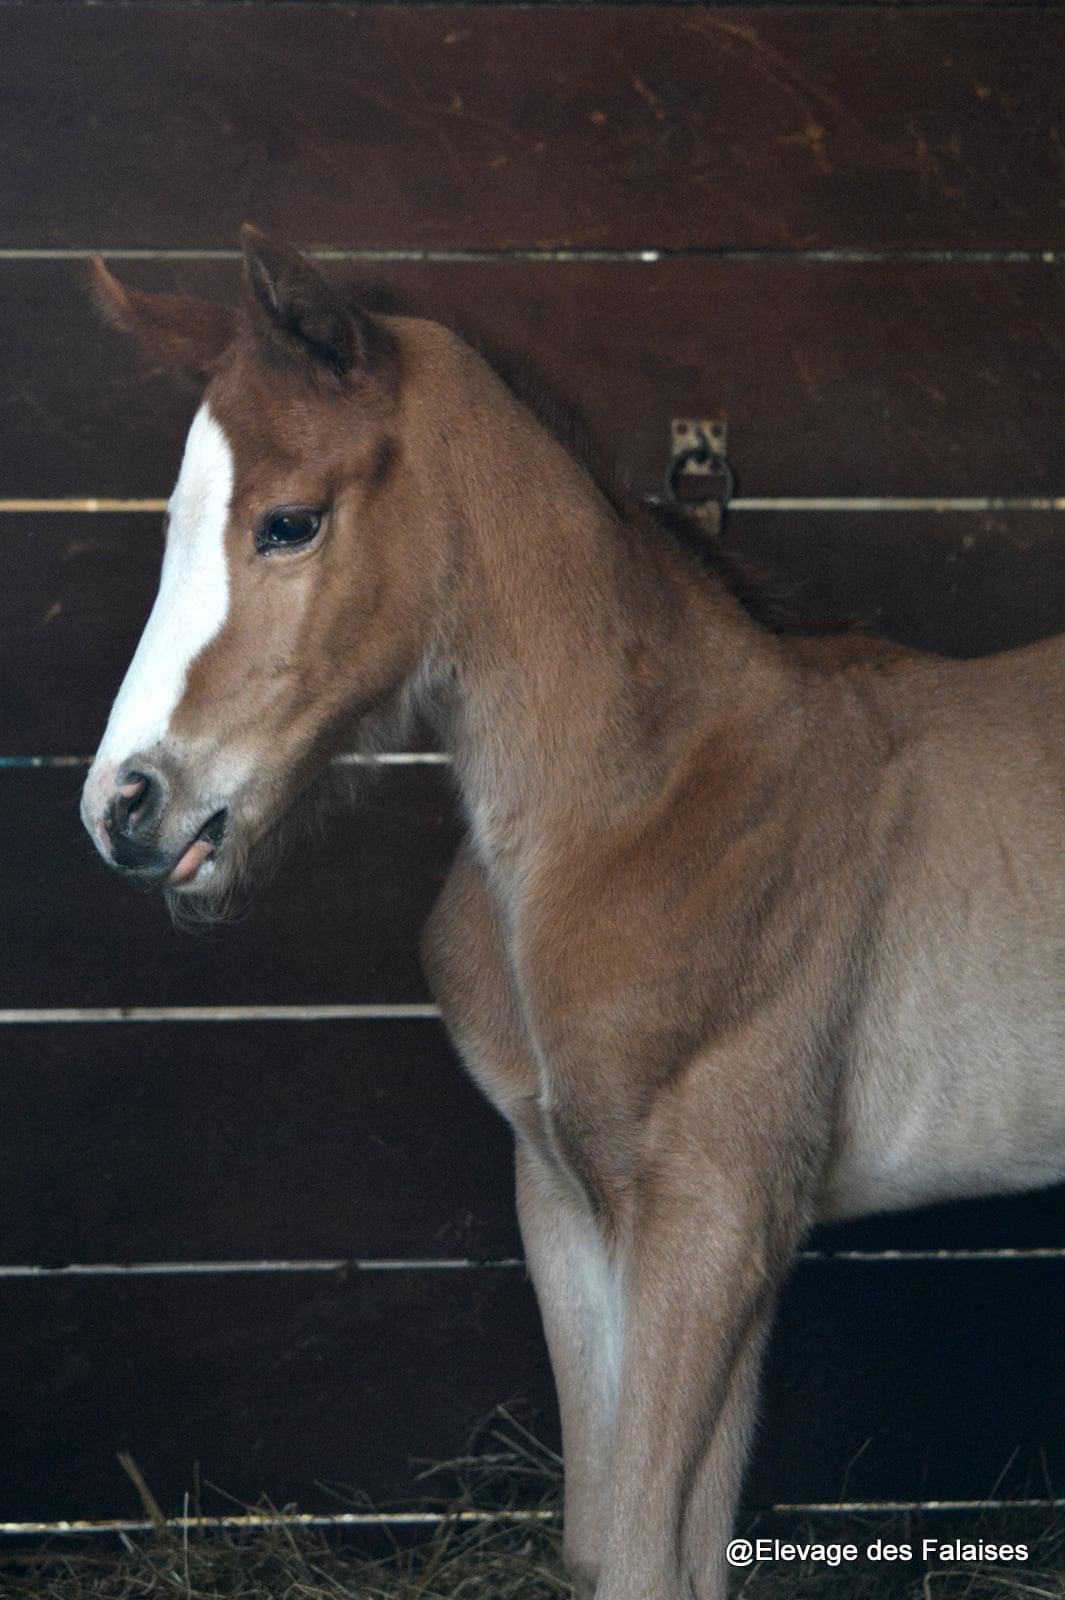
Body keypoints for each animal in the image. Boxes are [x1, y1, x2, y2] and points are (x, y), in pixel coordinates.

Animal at [83, 228, 1061, 1600]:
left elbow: (649, 1557)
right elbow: (612, 1546)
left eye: (289, 523)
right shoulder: (568, 1200)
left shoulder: (717, 1210)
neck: (640, 802)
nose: (122, 804)